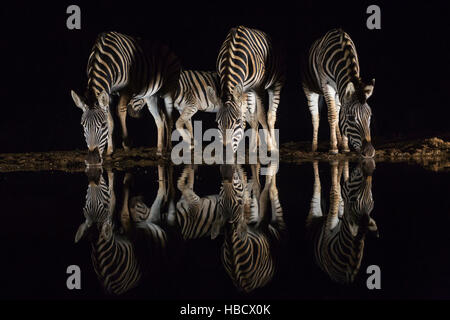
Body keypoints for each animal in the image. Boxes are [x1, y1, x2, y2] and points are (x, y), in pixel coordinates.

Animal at [71, 30, 180, 165]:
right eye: (83, 125)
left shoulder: (127, 89)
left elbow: (120, 110)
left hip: (169, 90)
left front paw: (127, 143)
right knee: (159, 119)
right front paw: (110, 151)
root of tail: (168, 49)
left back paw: (169, 149)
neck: (105, 58)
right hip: (151, 95)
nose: (92, 160)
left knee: (169, 118)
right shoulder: (109, 93)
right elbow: (111, 120)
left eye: (102, 125)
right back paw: (160, 150)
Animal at [212, 25, 284, 153]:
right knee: (253, 116)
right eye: (217, 122)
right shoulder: (244, 90)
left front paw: (269, 146)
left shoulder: (258, 88)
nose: (225, 150)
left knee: (271, 116)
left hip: (276, 83)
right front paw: (253, 147)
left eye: (237, 121)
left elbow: (261, 116)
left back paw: (274, 145)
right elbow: (252, 117)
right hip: (248, 91)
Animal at [302, 29, 376, 157]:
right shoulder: (327, 86)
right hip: (310, 90)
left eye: (370, 116)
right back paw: (314, 147)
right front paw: (333, 148)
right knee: (315, 117)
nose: (369, 152)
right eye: (351, 118)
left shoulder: (341, 88)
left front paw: (344, 147)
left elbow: (338, 116)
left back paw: (340, 142)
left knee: (335, 113)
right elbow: (332, 116)